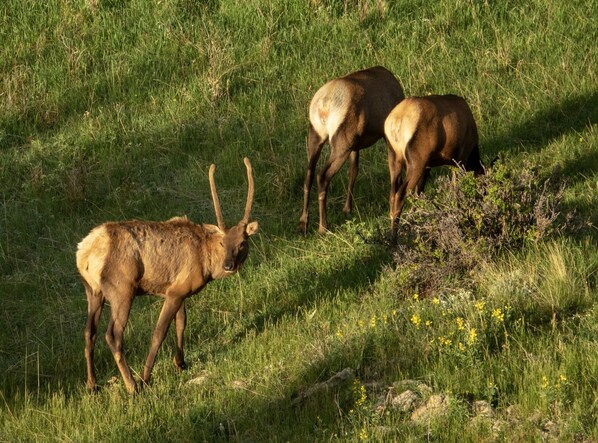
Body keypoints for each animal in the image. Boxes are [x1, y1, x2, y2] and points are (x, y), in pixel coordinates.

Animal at [76, 158, 258, 394]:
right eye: (222, 242)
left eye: (242, 243)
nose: (228, 265)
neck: (206, 264)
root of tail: (85, 252)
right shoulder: (175, 292)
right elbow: (159, 332)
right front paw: (147, 377)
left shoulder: (179, 289)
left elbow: (181, 322)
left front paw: (180, 363)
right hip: (121, 288)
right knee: (113, 335)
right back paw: (132, 385)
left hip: (92, 290)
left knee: (89, 332)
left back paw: (92, 384)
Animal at [298, 66, 406, 236]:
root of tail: (323, 107)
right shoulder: (386, 137)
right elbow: (394, 174)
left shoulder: (356, 145)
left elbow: (353, 171)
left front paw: (348, 208)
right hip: (342, 143)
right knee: (322, 176)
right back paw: (323, 227)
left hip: (316, 136)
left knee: (309, 174)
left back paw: (303, 223)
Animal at [384, 96, 488, 238]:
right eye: (485, 185)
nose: (484, 199)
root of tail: (396, 122)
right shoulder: (460, 158)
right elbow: (456, 188)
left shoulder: (430, 166)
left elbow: (419, 193)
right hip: (416, 161)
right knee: (401, 194)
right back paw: (395, 238)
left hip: (394, 159)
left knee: (392, 195)